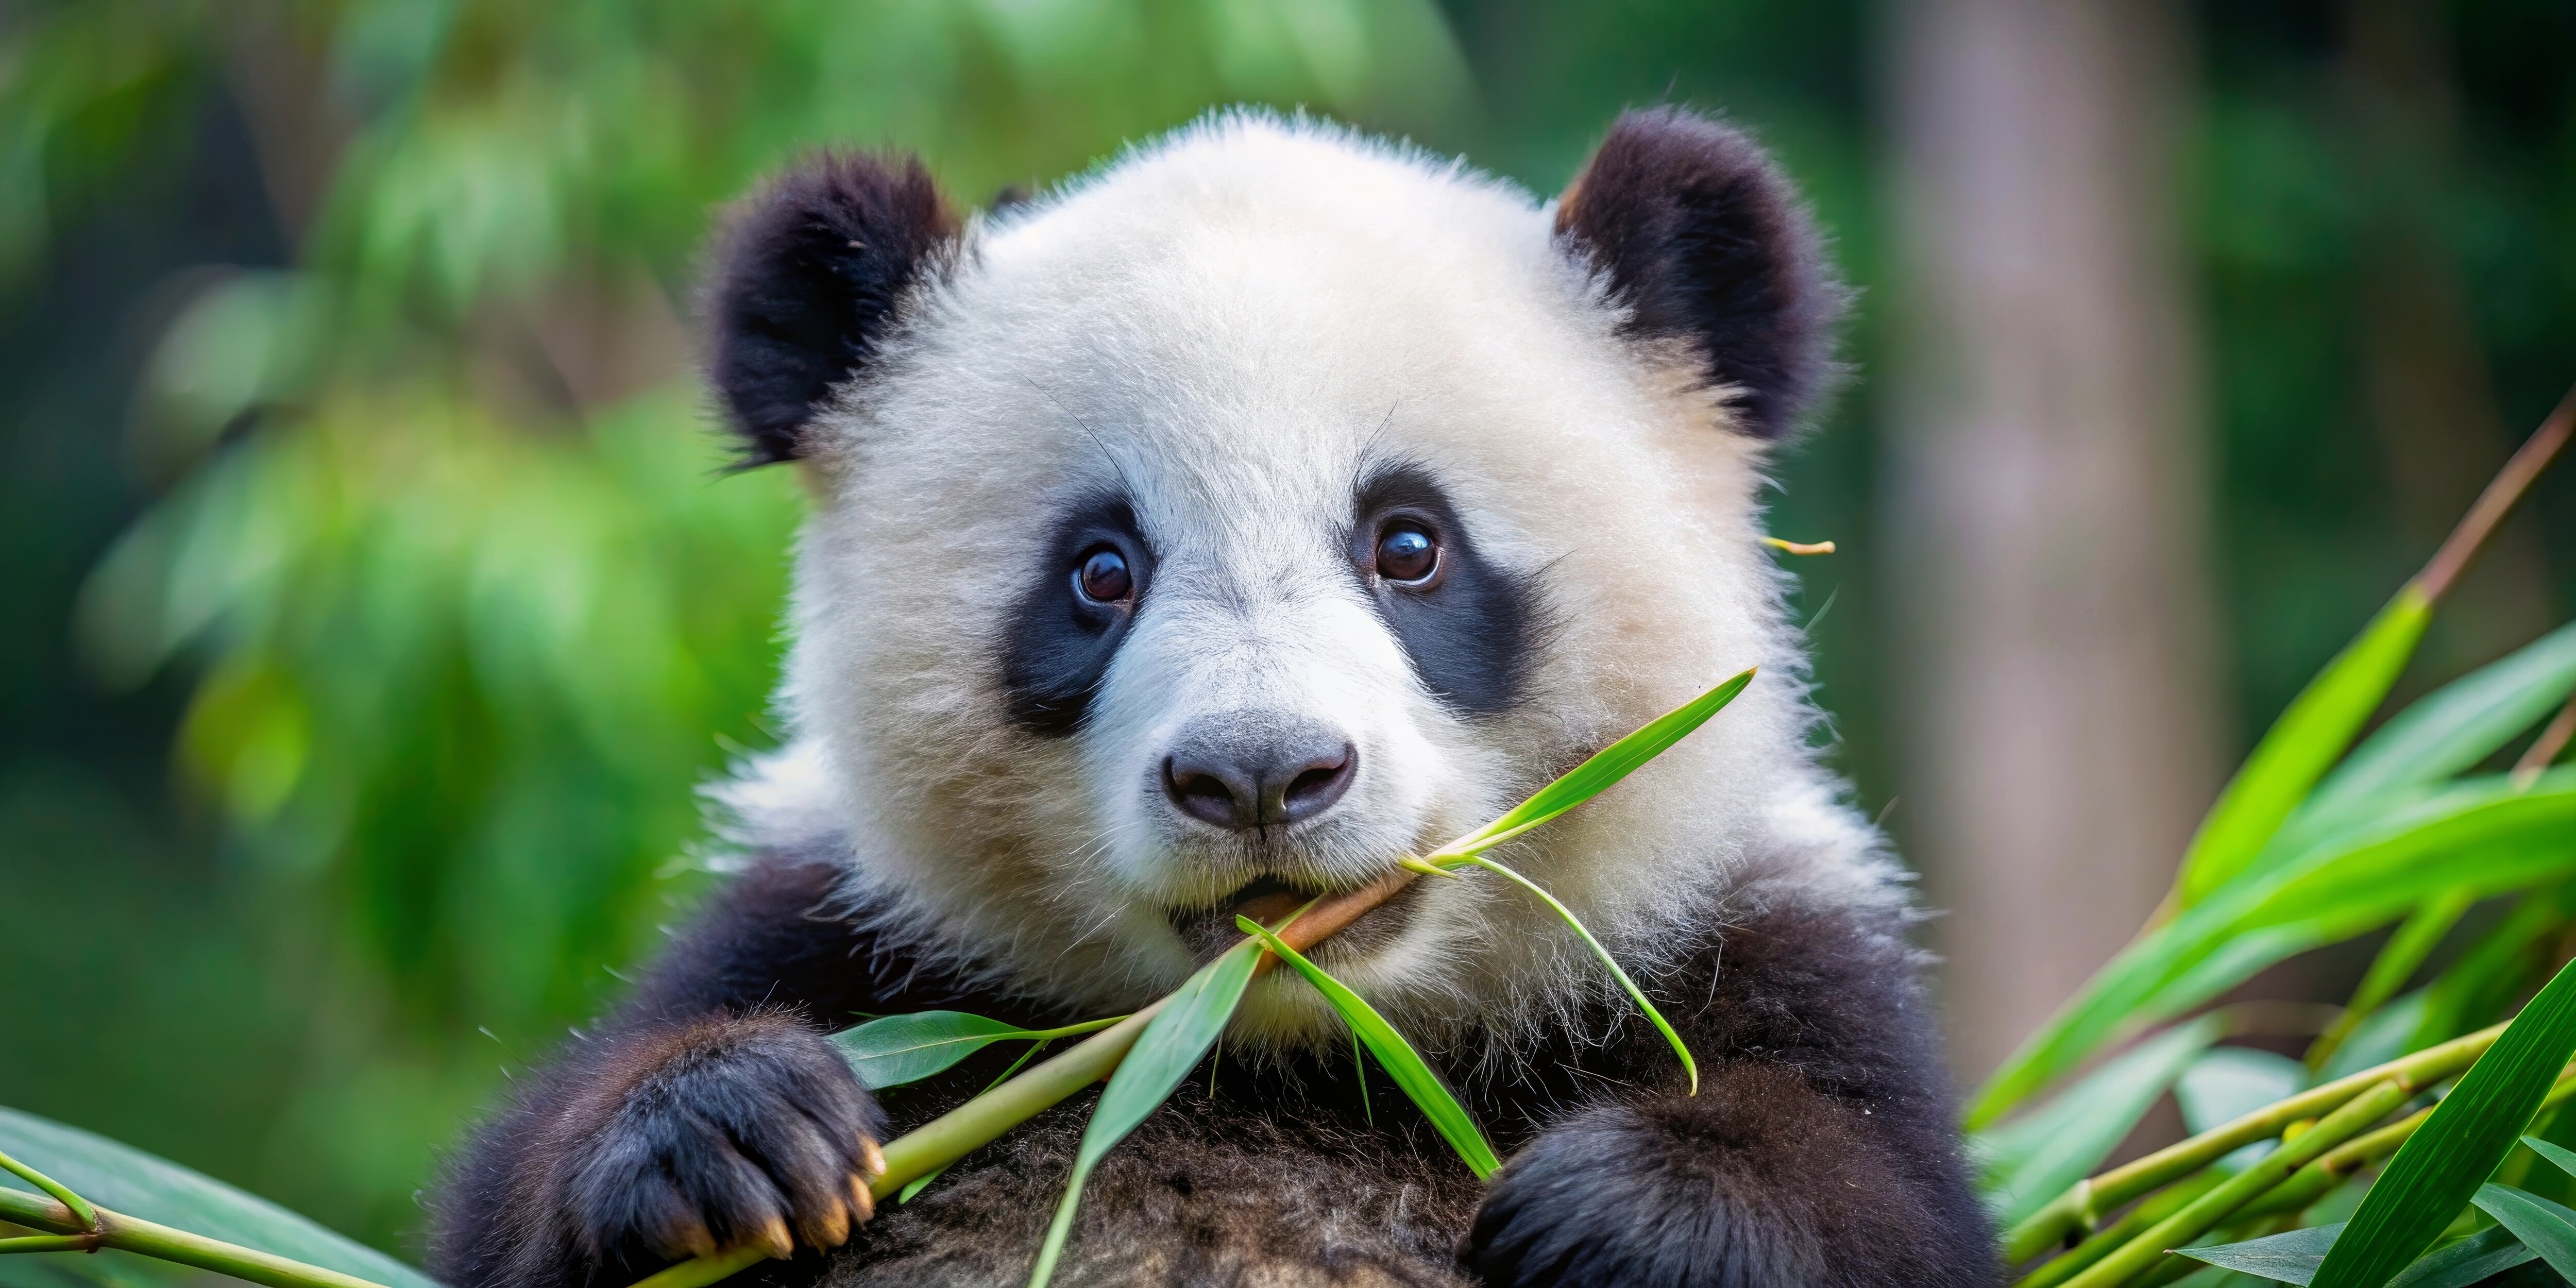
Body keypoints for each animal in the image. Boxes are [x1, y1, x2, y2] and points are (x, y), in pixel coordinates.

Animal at [427, 107, 1997, 1288]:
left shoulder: (1752, 944)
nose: (1260, 775)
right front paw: (733, 1132)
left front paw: (1626, 1209)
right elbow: (514, 1197)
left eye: (1409, 544)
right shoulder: (846, 929)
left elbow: (1878, 1191)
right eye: (1100, 571)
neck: (1287, 1052)